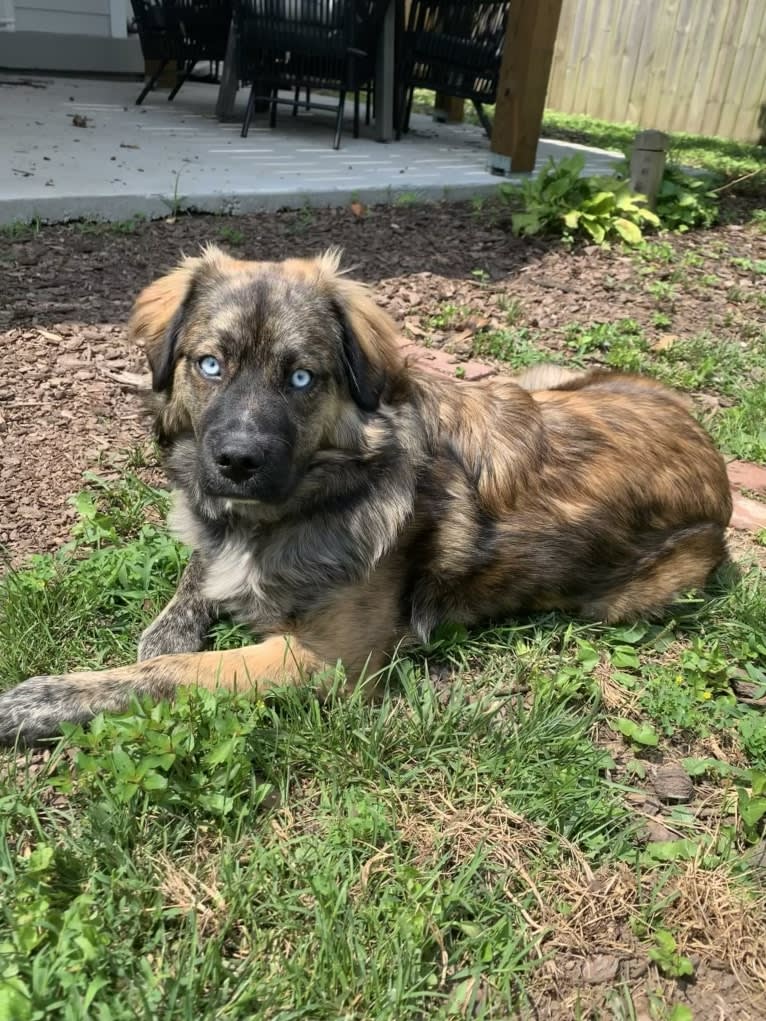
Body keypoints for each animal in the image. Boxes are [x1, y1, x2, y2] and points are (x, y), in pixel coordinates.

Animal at [0, 247, 735, 743]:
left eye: (301, 377)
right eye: (210, 364)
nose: (235, 462)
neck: (307, 499)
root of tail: (714, 455)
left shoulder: (325, 659)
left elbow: (178, 672)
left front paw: (46, 698)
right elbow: (195, 580)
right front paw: (169, 625)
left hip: (630, 596)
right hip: (541, 379)